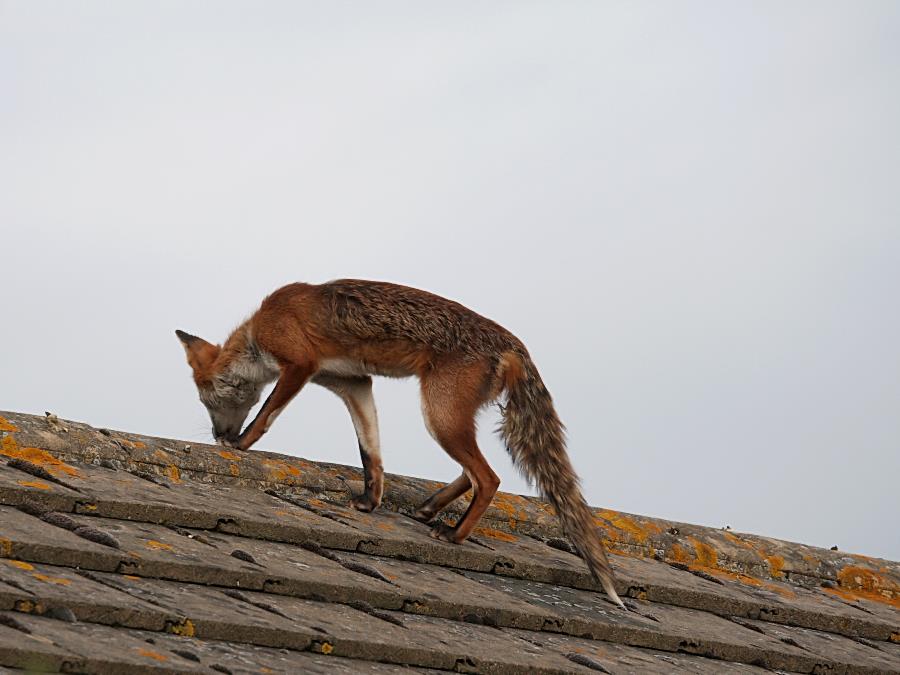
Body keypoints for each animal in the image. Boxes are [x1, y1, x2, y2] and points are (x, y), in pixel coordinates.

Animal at [176, 279, 624, 608]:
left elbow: (265, 416)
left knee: (489, 478)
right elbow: (370, 451)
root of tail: (513, 342)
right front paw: (370, 500)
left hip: (439, 416)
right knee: (473, 473)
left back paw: (454, 535)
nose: (217, 435)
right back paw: (430, 509)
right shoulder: (353, 382)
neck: (258, 335)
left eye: (205, 400)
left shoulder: (299, 365)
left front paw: (241, 446)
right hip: (450, 419)